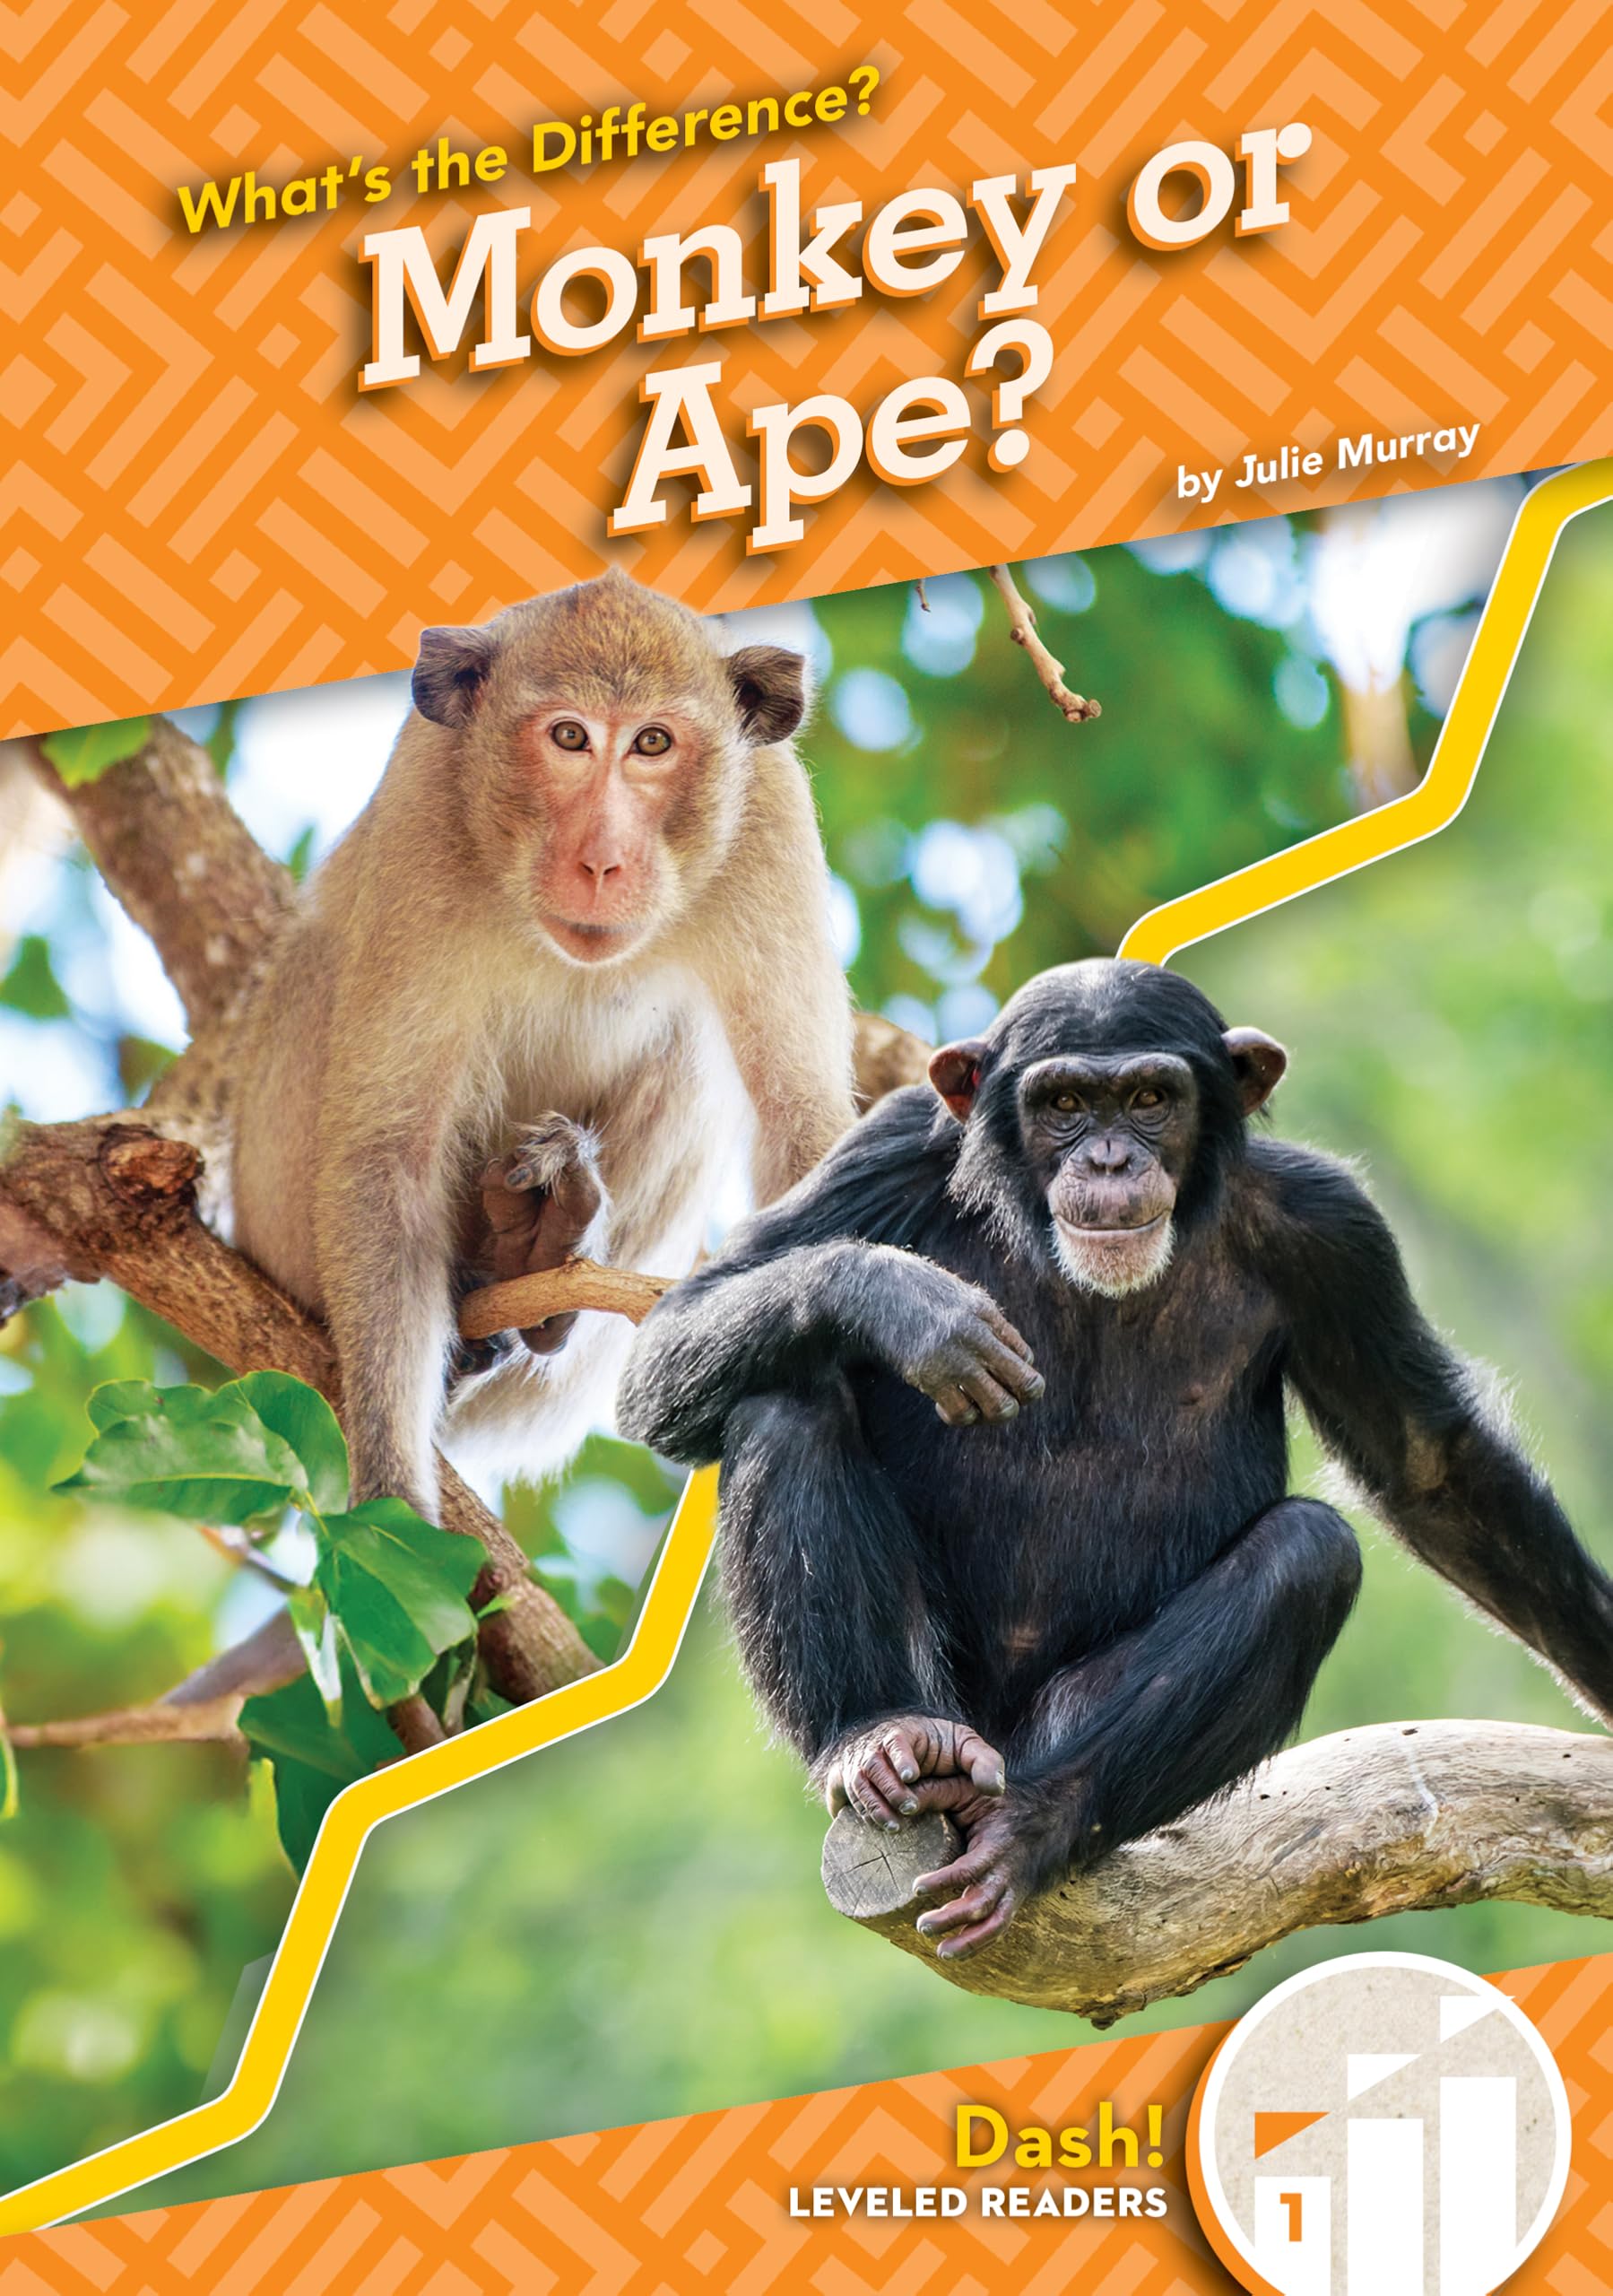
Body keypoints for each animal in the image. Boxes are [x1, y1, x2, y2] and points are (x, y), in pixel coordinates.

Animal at [226, 569, 855, 1517]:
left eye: (652, 743)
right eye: (568, 737)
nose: (601, 860)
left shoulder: (769, 821)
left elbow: (800, 1117)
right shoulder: (422, 811)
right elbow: (387, 1154)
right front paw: (393, 1500)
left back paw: (538, 1260)